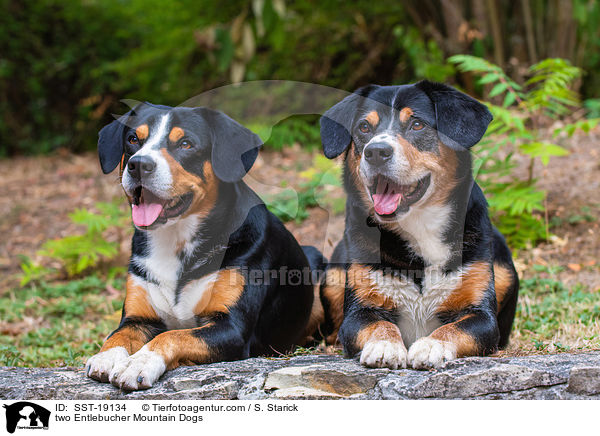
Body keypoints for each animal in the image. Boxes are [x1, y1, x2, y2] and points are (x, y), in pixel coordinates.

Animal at [85, 104, 324, 390]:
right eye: (133, 139)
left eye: (186, 144)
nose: (139, 165)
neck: (175, 241)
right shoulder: (139, 317)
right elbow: (118, 335)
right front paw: (106, 356)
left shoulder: (231, 327)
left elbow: (173, 336)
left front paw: (139, 362)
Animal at [318, 81, 520, 368]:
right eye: (364, 127)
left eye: (417, 124)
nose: (376, 152)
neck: (420, 228)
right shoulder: (359, 311)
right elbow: (378, 324)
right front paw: (384, 345)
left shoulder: (482, 317)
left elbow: (454, 328)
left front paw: (431, 345)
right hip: (333, 276)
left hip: (504, 272)